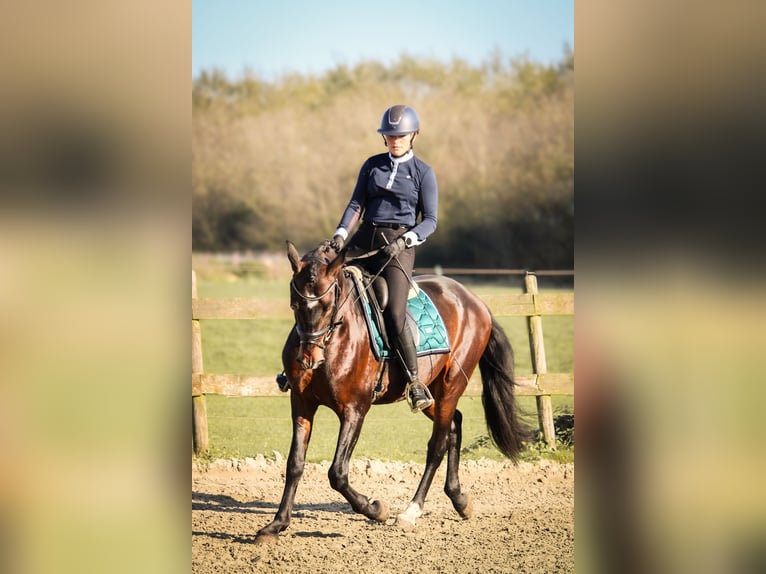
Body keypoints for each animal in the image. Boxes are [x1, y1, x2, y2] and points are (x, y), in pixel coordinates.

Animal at [255, 242, 532, 544]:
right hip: (432, 393)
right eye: (294, 304)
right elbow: (295, 464)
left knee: (437, 445)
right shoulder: (302, 404)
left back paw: (411, 512)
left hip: (452, 384)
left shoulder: (355, 409)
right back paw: (459, 499)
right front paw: (276, 525)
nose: (308, 359)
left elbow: (337, 472)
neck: (336, 337)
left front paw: (376, 509)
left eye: (328, 306)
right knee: (454, 424)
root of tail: (474, 301)